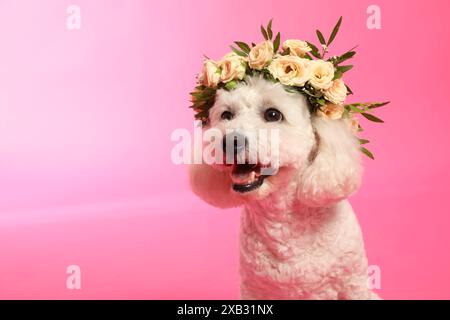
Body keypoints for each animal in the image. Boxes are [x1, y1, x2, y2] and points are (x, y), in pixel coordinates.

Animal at [188, 75, 378, 300]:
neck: (283, 223)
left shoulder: (353, 284)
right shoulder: (253, 290)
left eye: (273, 114)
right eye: (227, 115)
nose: (230, 141)